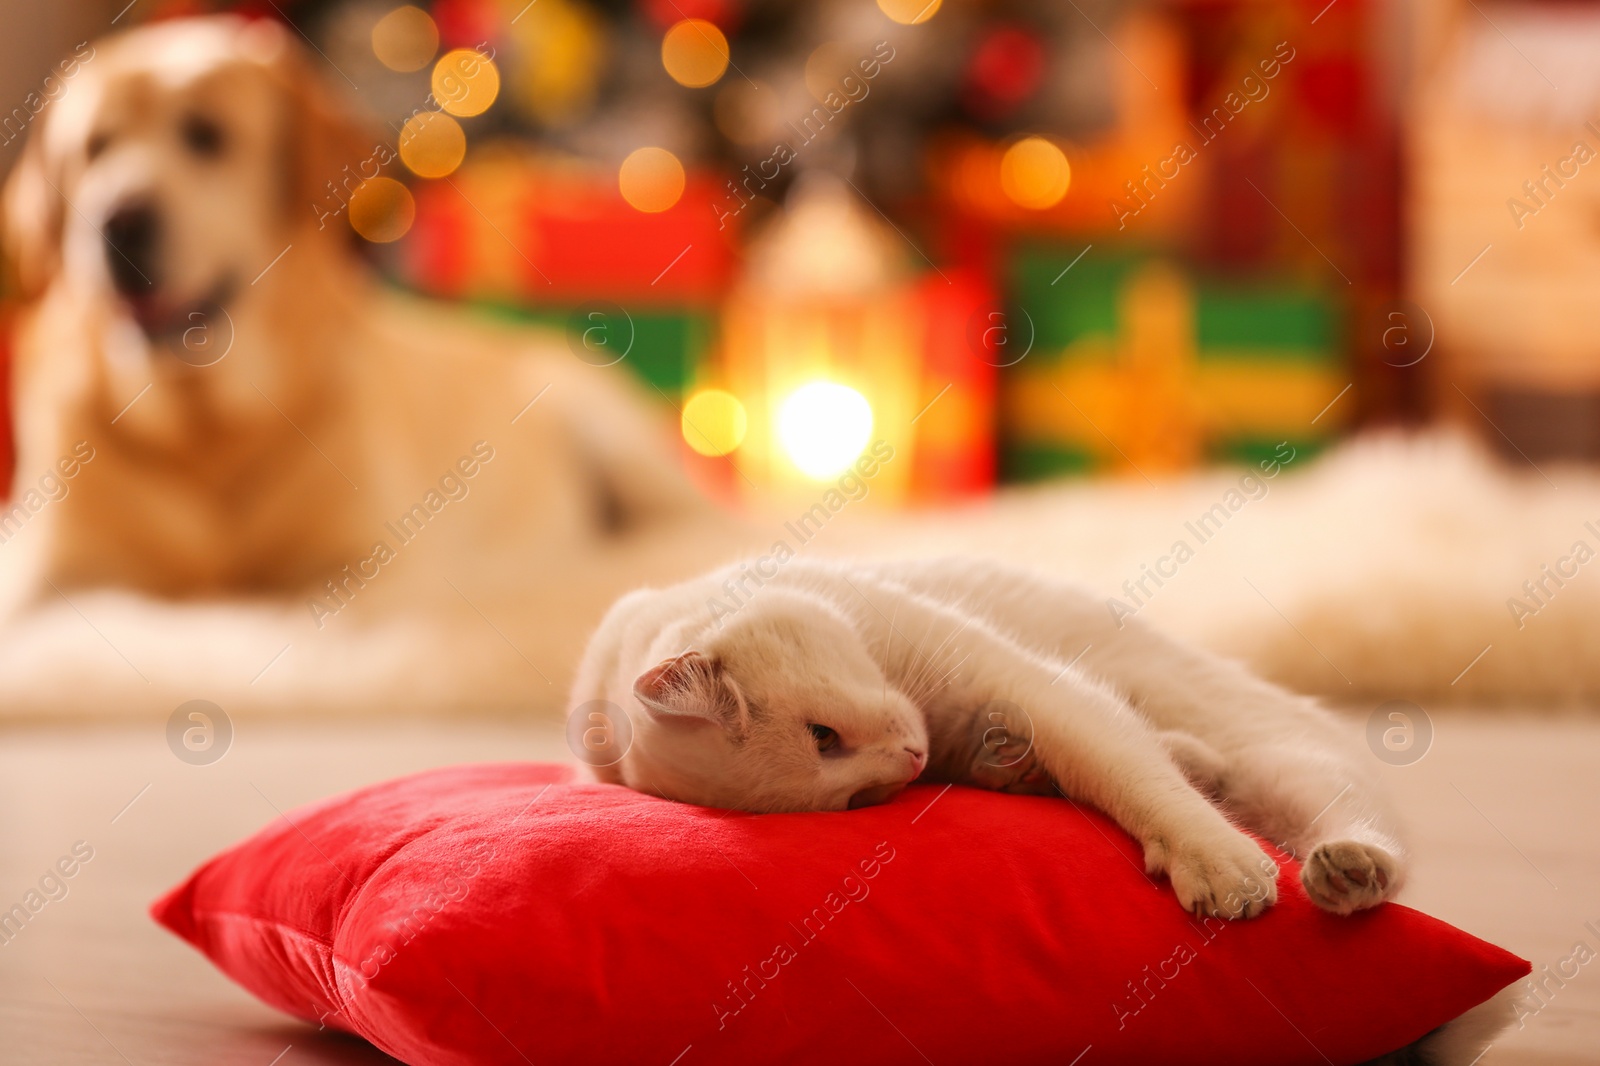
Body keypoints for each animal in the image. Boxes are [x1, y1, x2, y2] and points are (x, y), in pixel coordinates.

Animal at [0, 16, 704, 614]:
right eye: (93, 148)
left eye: (207, 136)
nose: (116, 221)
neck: (206, 432)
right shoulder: (45, 583)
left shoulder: (364, 572)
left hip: (613, 436)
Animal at [572, 550, 1401, 915]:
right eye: (854, 801)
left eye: (823, 736)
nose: (911, 763)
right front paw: (1006, 765)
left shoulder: (1036, 690)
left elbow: (1132, 779)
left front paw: (1215, 864)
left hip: (1279, 758)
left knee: (1356, 820)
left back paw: (1348, 867)